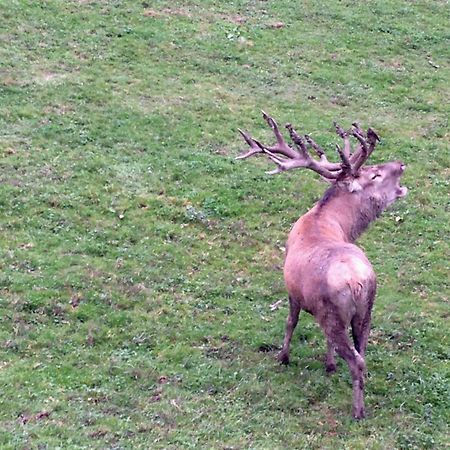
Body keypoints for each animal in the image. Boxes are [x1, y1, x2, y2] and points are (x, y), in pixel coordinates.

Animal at [237, 111, 410, 418]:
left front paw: (283, 357)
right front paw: (328, 365)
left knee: (355, 359)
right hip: (366, 311)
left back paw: (358, 411)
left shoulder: (293, 291)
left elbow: (290, 322)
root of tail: (357, 282)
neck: (327, 220)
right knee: (362, 352)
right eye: (375, 173)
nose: (400, 164)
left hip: (333, 313)